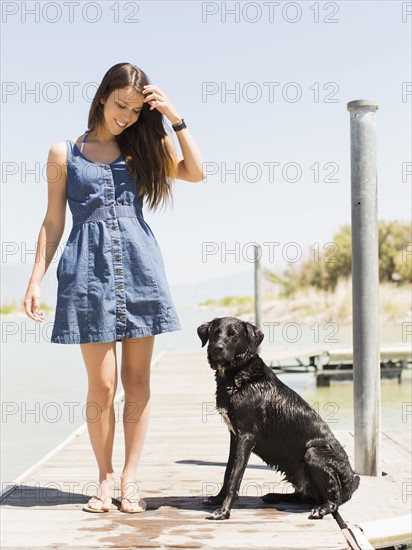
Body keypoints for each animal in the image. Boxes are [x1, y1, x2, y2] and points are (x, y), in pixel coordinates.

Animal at [198, 320, 358, 520]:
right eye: (214, 332)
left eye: (233, 334)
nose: (216, 348)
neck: (238, 376)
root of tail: (353, 480)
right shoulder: (235, 437)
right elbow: (228, 471)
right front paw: (217, 500)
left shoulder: (246, 436)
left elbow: (235, 476)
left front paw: (223, 511)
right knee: (304, 496)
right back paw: (275, 496)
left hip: (313, 452)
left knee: (332, 500)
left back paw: (322, 508)